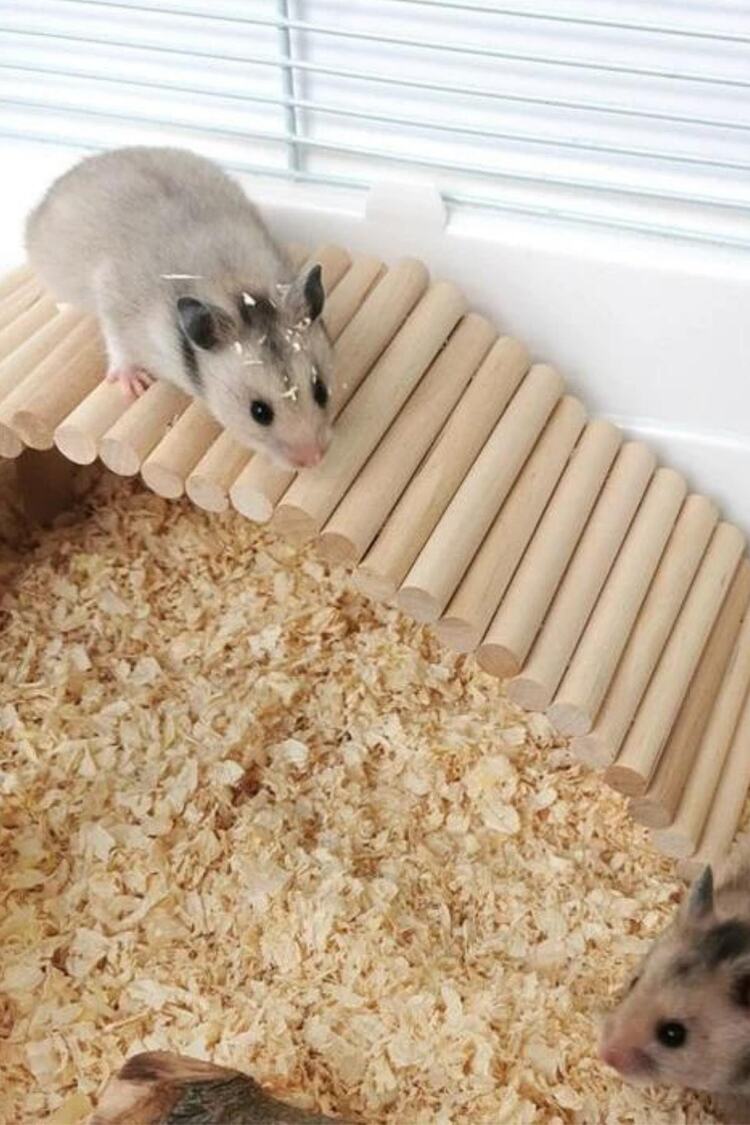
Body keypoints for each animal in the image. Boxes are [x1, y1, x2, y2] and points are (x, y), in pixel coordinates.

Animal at [25, 146, 334, 470]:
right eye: (259, 412)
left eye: (321, 391)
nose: (313, 459)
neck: (237, 287)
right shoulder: (115, 301)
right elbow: (118, 345)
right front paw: (135, 385)